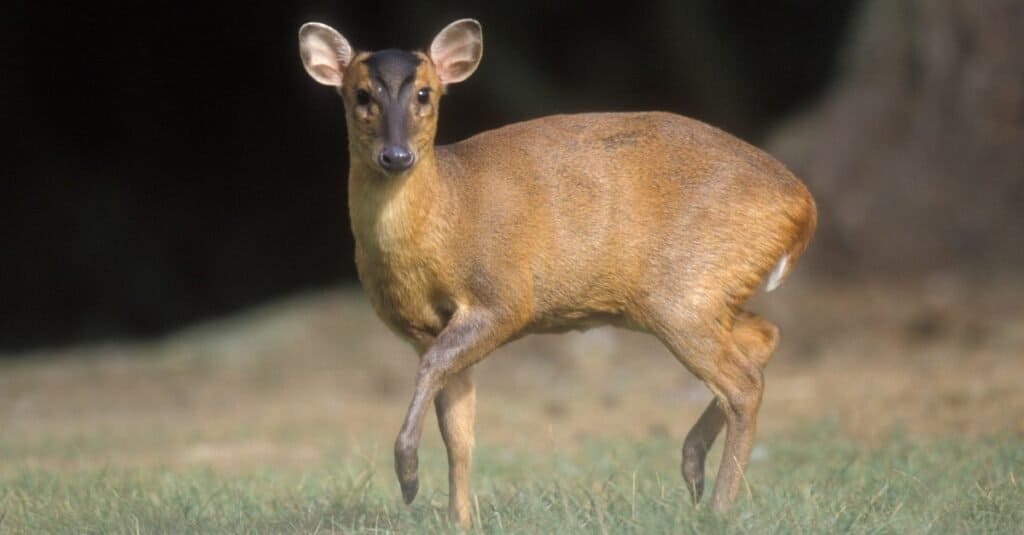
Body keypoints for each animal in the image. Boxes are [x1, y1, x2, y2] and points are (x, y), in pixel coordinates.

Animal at [299, 17, 815, 524]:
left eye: (425, 93)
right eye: (361, 95)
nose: (396, 156)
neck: (446, 212)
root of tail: (802, 207)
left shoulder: (504, 296)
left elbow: (435, 372)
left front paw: (407, 476)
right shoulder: (425, 328)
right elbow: (458, 432)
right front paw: (459, 520)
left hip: (683, 291)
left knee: (744, 384)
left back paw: (717, 505)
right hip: (706, 291)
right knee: (763, 337)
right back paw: (693, 467)